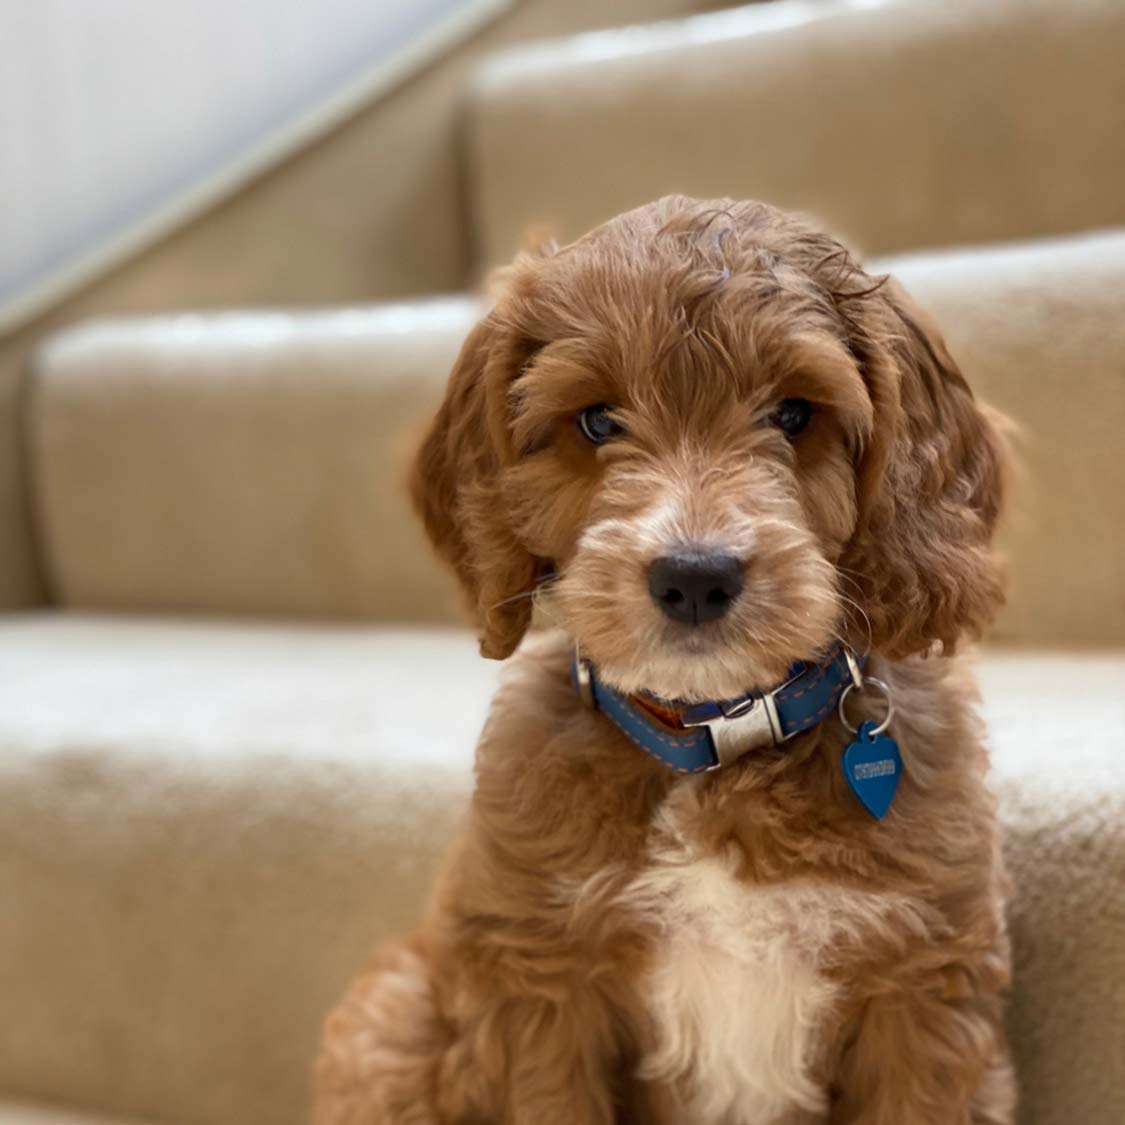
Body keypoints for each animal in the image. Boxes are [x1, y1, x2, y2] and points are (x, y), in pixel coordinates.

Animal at [317, 198, 1021, 1120]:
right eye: (596, 420)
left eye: (793, 413)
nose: (693, 576)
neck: (714, 742)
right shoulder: (543, 985)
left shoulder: (924, 986)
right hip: (390, 1023)